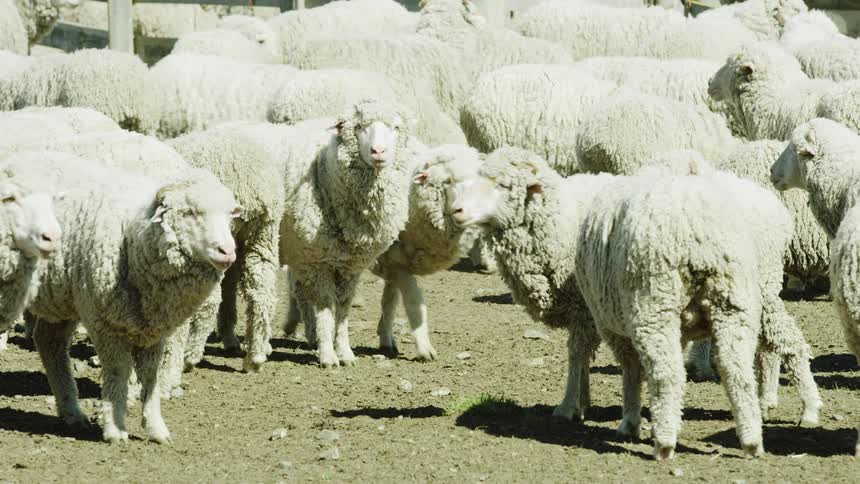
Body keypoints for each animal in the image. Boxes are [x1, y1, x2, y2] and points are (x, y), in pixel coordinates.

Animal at [11, 150, 240, 443]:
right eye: (189, 212)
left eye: (229, 216)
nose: (228, 251)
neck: (132, 239)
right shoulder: (104, 322)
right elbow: (119, 371)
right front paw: (115, 427)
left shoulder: (156, 327)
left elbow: (151, 377)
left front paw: (156, 428)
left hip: (61, 296)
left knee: (49, 343)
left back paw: (72, 413)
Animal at [168, 117, 335, 372]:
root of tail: (249, 183)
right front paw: (229, 338)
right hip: (262, 235)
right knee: (262, 291)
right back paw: (254, 356)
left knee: (211, 300)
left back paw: (190, 356)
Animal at [279, 100, 415, 368]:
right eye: (360, 127)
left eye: (395, 127)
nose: (378, 151)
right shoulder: (318, 260)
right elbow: (326, 306)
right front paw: (328, 356)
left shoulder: (349, 264)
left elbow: (342, 308)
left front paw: (344, 352)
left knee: (299, 290)